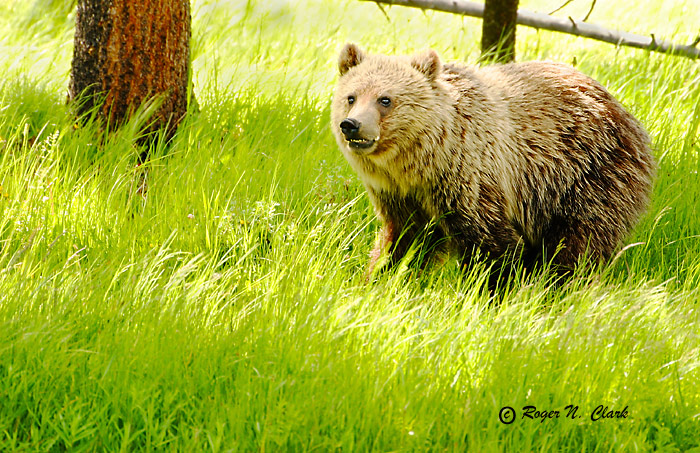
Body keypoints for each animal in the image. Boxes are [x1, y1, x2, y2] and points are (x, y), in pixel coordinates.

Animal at [330, 43, 652, 282]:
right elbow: (401, 240)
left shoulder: (472, 178)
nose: (352, 125)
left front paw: (490, 292)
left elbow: (491, 247)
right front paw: (377, 277)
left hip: (585, 177)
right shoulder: (398, 194)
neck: (419, 163)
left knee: (577, 243)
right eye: (351, 97)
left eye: (385, 100)